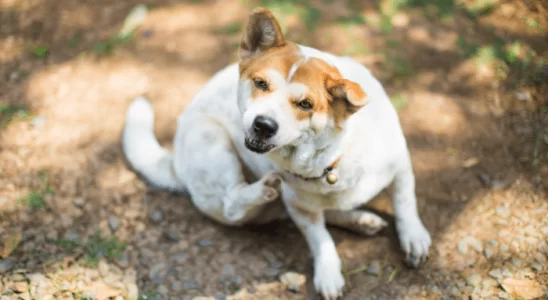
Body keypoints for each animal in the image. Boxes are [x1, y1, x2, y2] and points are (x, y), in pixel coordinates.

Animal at [122, 7, 430, 300]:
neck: (331, 160)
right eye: (261, 84)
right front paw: (328, 273)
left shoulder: (401, 165)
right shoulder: (299, 207)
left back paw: (361, 220)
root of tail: (175, 162)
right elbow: (320, 238)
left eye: (305, 104)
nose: (263, 125)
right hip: (210, 140)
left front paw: (413, 237)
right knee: (233, 203)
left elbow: (405, 203)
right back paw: (262, 190)